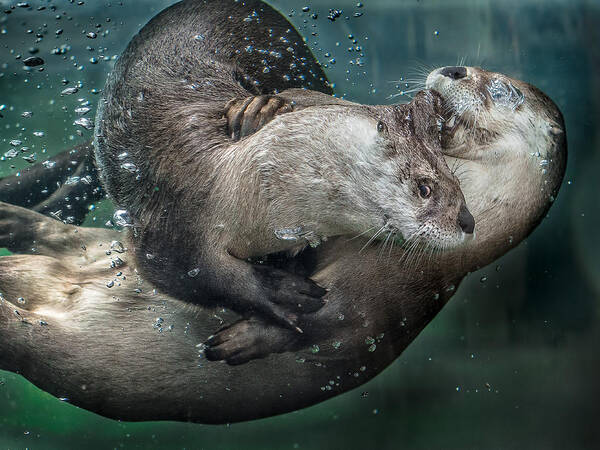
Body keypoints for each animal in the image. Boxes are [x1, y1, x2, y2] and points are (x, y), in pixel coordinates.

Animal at [94, 0, 474, 332]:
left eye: (455, 179)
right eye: (424, 187)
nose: (468, 222)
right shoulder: (174, 213)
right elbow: (189, 271)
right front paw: (276, 293)